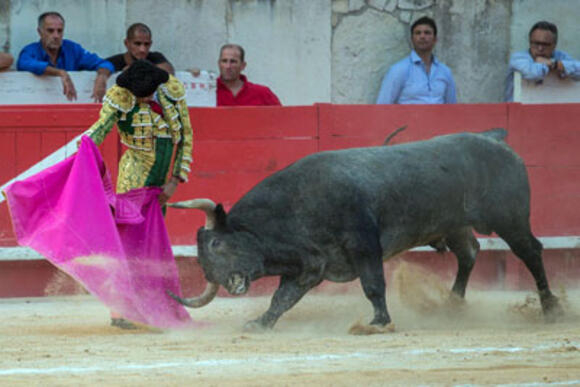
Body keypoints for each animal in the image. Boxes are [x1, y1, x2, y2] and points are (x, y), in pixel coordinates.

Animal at [167, 130, 560, 330]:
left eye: (216, 245)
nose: (221, 281)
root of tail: (498, 141)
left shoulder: (364, 246)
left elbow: (373, 285)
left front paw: (379, 321)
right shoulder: (309, 267)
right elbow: (283, 298)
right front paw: (259, 323)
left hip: (509, 218)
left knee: (530, 252)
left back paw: (551, 308)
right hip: (455, 226)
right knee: (469, 253)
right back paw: (452, 305)